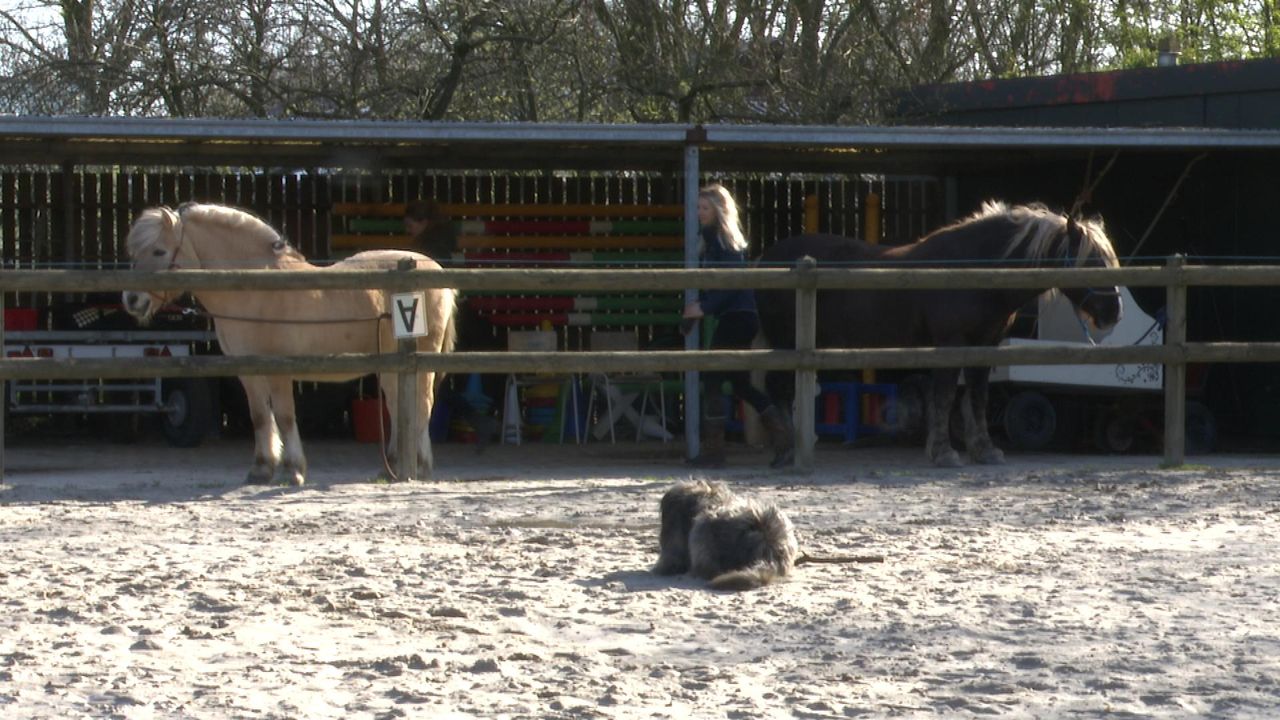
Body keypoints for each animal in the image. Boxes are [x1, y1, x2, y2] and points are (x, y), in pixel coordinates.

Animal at [122, 202, 458, 486]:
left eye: (159, 251)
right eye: (135, 253)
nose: (131, 299)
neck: (255, 288)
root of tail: (433, 269)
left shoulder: (278, 370)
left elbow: (284, 416)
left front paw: (293, 470)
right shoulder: (248, 371)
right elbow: (260, 416)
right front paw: (261, 469)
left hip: (420, 359)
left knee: (422, 404)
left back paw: (419, 466)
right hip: (391, 365)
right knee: (399, 405)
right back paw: (391, 467)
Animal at [757, 201, 1122, 468]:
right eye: (1092, 261)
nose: (1113, 312)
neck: (973, 269)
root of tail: (768, 258)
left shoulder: (985, 345)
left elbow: (976, 397)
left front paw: (983, 450)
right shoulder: (951, 343)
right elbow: (944, 397)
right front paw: (945, 453)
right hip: (786, 342)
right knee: (778, 389)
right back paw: (788, 450)